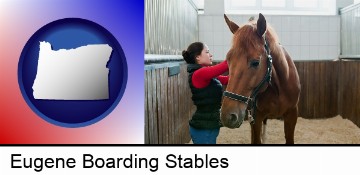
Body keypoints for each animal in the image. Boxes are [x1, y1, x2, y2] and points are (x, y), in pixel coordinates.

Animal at [219, 13, 300, 144]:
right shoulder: (256, 117)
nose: (227, 116)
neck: (278, 88)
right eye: (228, 59)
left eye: (256, 62)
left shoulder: (292, 114)